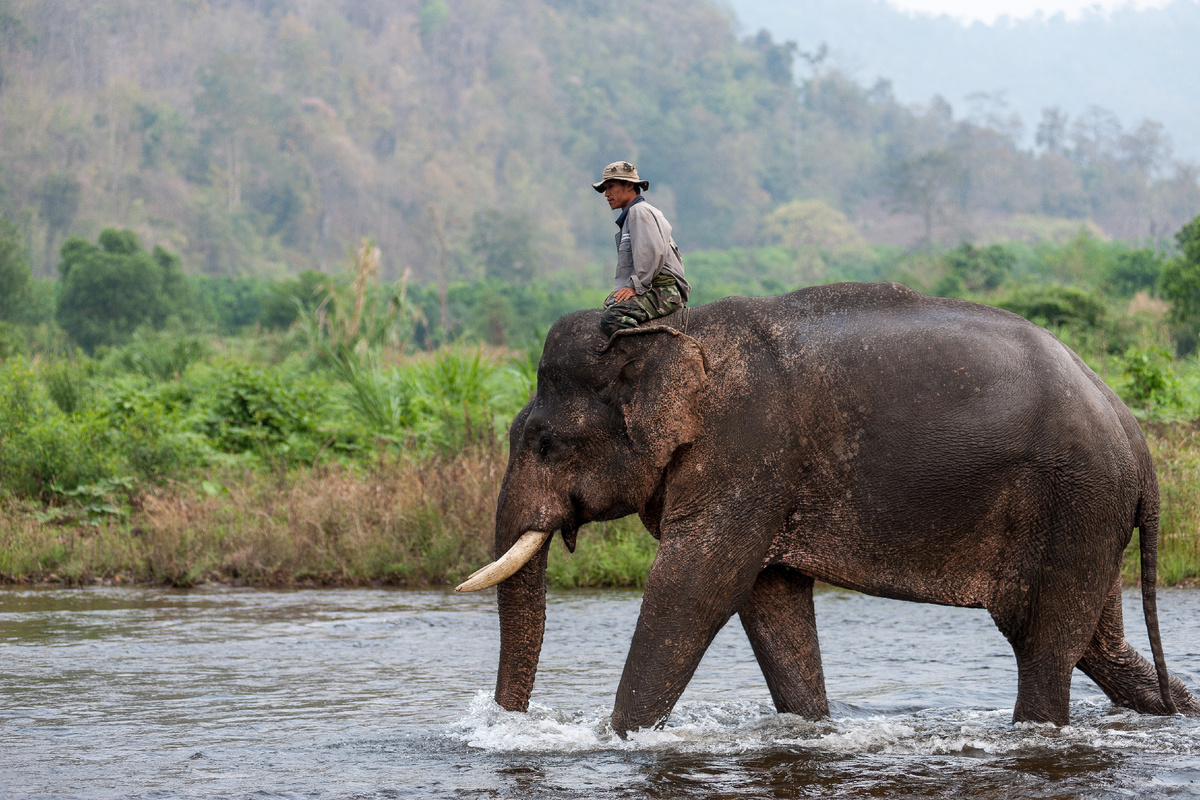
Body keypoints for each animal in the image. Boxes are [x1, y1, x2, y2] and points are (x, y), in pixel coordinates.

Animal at [457, 281, 1200, 735]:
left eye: (545, 443)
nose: (504, 726)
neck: (674, 334)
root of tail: (1138, 443)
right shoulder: (764, 480)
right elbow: (770, 598)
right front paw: (812, 730)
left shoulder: (747, 453)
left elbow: (695, 585)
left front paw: (620, 739)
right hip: (1090, 516)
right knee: (1100, 646)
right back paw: (1178, 710)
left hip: (1074, 503)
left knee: (1044, 648)